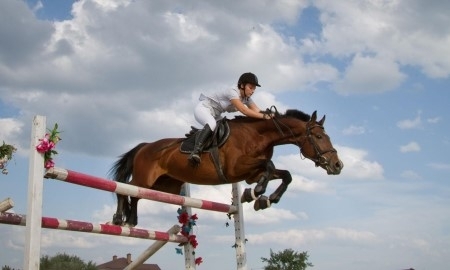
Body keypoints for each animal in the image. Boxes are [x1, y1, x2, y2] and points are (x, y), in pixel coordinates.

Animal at [110, 108, 342, 227]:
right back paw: (120, 218)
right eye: (319, 137)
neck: (258, 136)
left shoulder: (251, 173)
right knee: (123, 187)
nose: (338, 165)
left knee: (135, 194)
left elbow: (285, 175)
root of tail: (144, 146)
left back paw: (132, 220)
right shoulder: (236, 168)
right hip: (145, 178)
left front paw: (265, 199)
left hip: (163, 186)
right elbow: (270, 165)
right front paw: (256, 193)